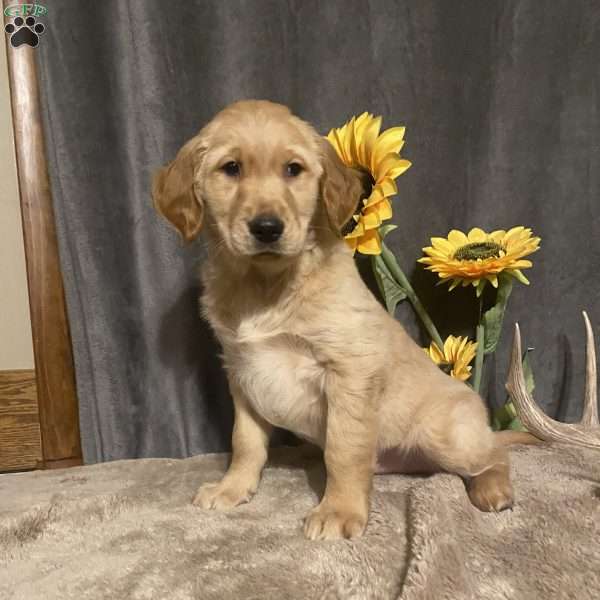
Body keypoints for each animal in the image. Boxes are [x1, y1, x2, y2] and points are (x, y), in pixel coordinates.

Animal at [155, 101, 524, 540]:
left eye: (293, 169)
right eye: (231, 168)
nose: (267, 228)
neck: (265, 284)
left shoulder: (349, 370)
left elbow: (343, 449)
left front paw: (339, 510)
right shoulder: (242, 371)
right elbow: (245, 441)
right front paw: (232, 487)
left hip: (448, 435)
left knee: (495, 452)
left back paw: (493, 489)